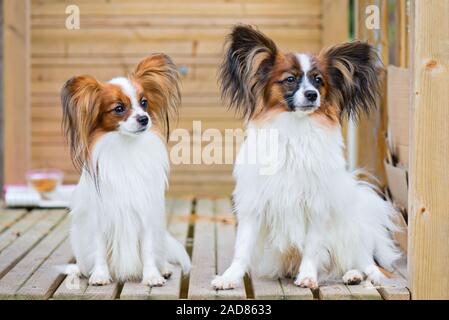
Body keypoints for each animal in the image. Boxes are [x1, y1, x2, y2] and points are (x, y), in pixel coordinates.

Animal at [60, 53, 190, 286]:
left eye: (144, 103)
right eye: (119, 108)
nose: (144, 118)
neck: (125, 147)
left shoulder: (146, 214)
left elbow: (148, 249)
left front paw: (152, 276)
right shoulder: (99, 216)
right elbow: (99, 248)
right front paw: (100, 275)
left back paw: (164, 268)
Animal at [212, 25, 400, 290]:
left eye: (318, 81)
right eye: (290, 79)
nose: (311, 95)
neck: (295, 130)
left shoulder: (316, 206)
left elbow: (312, 246)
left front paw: (308, 276)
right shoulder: (254, 205)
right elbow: (242, 248)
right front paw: (229, 278)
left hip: (350, 233)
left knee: (366, 262)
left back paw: (356, 274)